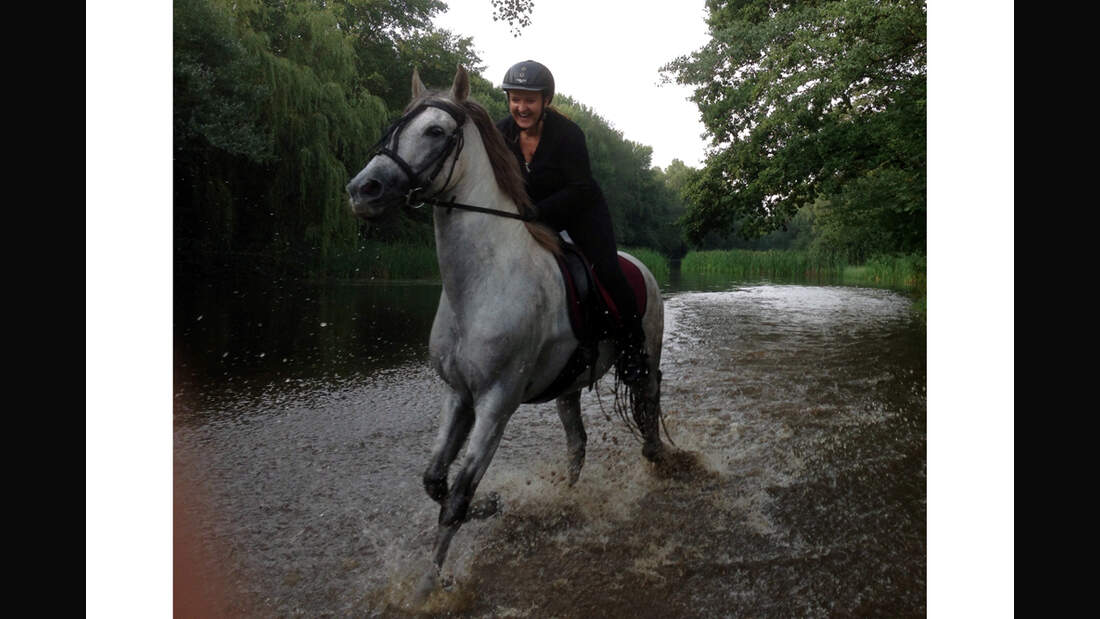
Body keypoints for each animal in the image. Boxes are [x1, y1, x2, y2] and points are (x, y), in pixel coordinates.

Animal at [347, 65, 664, 593]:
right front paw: (493, 504)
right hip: (568, 388)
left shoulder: (496, 402)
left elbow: (456, 497)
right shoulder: (457, 394)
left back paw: (659, 461)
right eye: (395, 126)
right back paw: (567, 498)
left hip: (645, 359)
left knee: (648, 412)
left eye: (436, 132)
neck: (481, 283)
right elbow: (435, 481)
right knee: (577, 445)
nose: (363, 190)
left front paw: (427, 588)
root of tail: (639, 266)